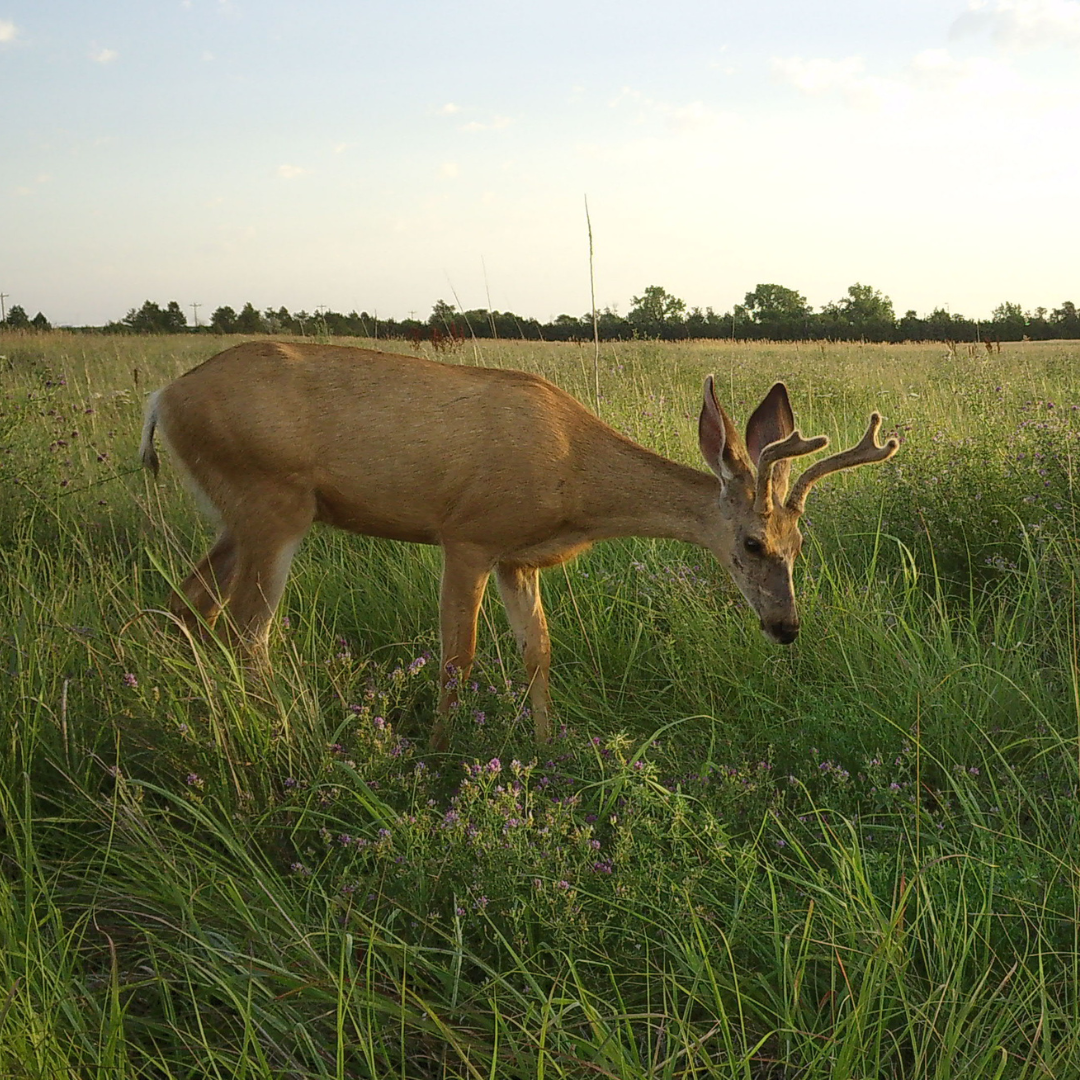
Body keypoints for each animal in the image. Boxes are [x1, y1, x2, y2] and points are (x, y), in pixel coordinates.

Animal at [141, 341, 902, 747]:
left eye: (799, 543)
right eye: (751, 543)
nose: (786, 626)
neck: (575, 480)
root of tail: (161, 398)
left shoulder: (519, 557)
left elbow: (538, 650)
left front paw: (545, 746)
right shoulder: (468, 534)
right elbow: (459, 658)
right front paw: (439, 755)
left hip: (235, 516)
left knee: (183, 608)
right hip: (271, 503)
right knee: (246, 629)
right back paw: (281, 733)